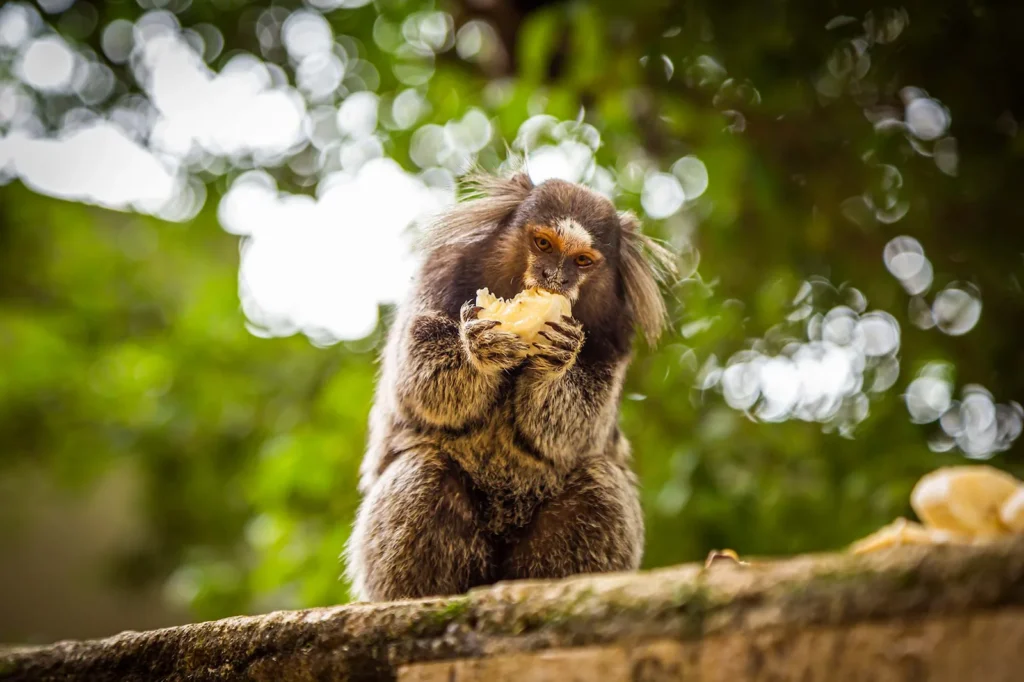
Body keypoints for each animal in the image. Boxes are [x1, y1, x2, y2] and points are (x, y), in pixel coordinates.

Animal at [343, 166, 676, 602]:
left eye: (582, 261)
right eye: (543, 243)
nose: (555, 277)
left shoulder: (615, 337)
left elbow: (575, 430)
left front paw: (555, 362)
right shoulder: (442, 273)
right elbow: (416, 383)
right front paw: (479, 347)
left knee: (602, 481)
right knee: (423, 469)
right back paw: (423, 596)